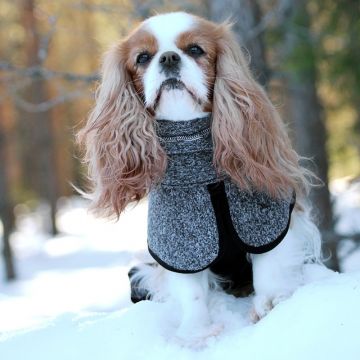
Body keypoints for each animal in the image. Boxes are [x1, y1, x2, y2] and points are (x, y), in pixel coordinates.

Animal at [77, 10, 322, 344]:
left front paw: (271, 303)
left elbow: (270, 267)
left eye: (195, 50)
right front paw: (197, 331)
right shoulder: (178, 246)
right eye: (142, 58)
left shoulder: (268, 225)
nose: (168, 58)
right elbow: (190, 292)